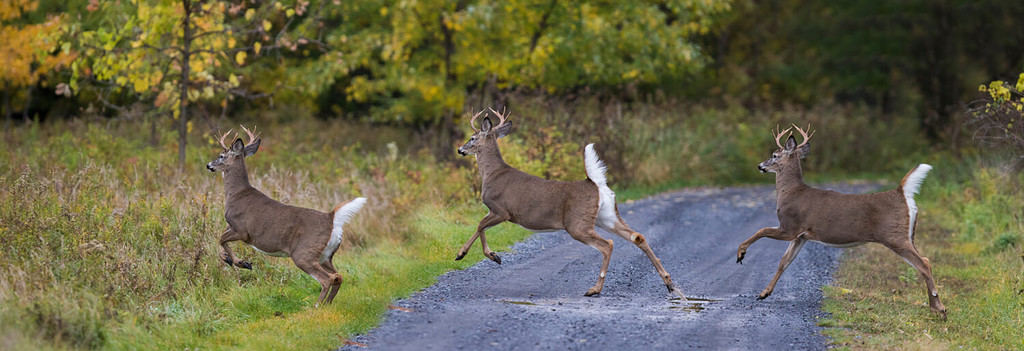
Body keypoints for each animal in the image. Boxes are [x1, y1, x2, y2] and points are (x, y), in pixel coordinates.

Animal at [204, 126, 368, 306]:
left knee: (327, 279)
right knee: (339, 276)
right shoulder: (231, 226)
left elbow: (220, 239)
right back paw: (327, 304)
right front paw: (235, 261)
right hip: (326, 255)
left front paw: (241, 262)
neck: (236, 194)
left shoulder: (242, 229)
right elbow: (220, 243)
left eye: (221, 155)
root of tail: (331, 218)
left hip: (304, 252)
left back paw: (316, 306)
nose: (208, 165)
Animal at [452, 107, 684, 298]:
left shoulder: (501, 209)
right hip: (607, 216)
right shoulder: (497, 212)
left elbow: (479, 225)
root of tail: (596, 184)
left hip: (577, 223)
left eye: (472, 138)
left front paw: (474, 254)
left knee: (607, 244)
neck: (492, 174)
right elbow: (480, 227)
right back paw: (670, 284)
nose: (460, 150)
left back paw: (595, 289)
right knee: (638, 236)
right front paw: (479, 255)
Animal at [733, 125, 946, 319]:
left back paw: (940, 308)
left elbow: (761, 230)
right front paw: (764, 293)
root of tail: (901, 192)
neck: (791, 193)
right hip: (909, 235)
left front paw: (741, 254)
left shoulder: (790, 227)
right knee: (926, 261)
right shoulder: (802, 236)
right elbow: (783, 262)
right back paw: (935, 308)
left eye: (775, 155)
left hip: (894, 235)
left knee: (923, 264)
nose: (760, 166)